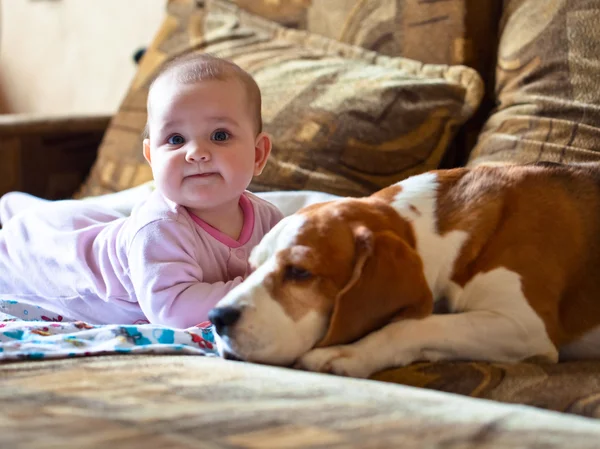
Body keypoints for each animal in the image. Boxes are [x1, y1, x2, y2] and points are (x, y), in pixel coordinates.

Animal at [206, 163, 600, 376]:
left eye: (300, 272)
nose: (217, 317)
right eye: (252, 267)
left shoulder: (525, 326)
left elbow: (416, 325)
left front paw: (349, 352)